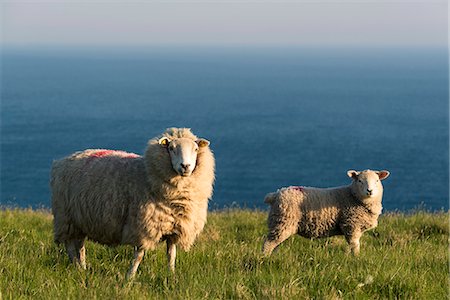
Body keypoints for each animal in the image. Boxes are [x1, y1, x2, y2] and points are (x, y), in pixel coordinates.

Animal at [50, 127, 215, 278]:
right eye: (171, 148)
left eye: (195, 149)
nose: (185, 166)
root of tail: (62, 160)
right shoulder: (142, 227)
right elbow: (139, 256)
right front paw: (130, 277)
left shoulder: (175, 228)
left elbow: (171, 254)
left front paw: (171, 274)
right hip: (65, 217)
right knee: (70, 246)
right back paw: (77, 268)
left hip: (80, 219)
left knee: (80, 246)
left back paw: (82, 267)